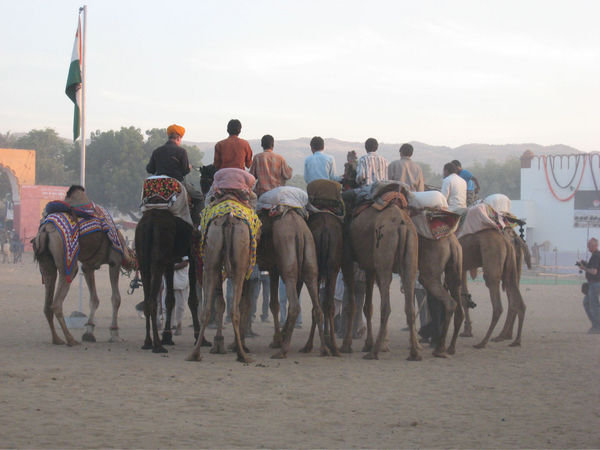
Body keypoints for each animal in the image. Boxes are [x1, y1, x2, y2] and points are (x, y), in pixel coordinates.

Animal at [32, 185, 126, 346]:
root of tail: (45, 230)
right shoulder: (115, 261)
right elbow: (116, 298)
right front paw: (114, 334)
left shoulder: (88, 266)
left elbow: (94, 299)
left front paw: (89, 332)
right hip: (67, 262)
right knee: (57, 302)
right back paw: (70, 339)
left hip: (46, 262)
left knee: (47, 304)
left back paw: (57, 339)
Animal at [135, 209, 193, 354]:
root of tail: (150, 221)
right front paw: (166, 337)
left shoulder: (170, 262)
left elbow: (170, 299)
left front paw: (167, 337)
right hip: (159, 257)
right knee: (152, 300)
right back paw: (157, 346)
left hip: (143, 259)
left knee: (147, 299)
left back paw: (147, 342)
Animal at [186, 213, 254, 364]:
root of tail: (229, 218)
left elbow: (219, 302)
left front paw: (218, 344)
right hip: (240, 263)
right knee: (235, 310)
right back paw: (242, 355)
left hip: (212, 252)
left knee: (206, 310)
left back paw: (195, 353)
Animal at [256, 209, 330, 360]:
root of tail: (299, 231)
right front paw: (277, 339)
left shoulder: (272, 268)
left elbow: (273, 304)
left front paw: (277, 341)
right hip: (309, 257)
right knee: (317, 306)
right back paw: (323, 349)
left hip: (287, 259)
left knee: (295, 306)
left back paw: (283, 350)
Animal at [340, 206, 420, 360]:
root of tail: (401, 225)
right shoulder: (370, 267)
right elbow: (367, 307)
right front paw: (368, 344)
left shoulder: (348, 260)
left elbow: (351, 305)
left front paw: (346, 346)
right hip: (411, 254)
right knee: (409, 305)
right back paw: (414, 353)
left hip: (384, 251)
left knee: (386, 306)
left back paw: (374, 352)